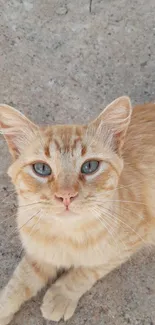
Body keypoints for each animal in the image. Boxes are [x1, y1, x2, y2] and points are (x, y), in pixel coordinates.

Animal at [0, 97, 155, 324]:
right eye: (42, 169)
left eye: (90, 166)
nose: (66, 196)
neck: (66, 236)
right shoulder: (38, 252)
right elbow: (21, 280)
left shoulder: (133, 239)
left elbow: (88, 270)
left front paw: (61, 295)